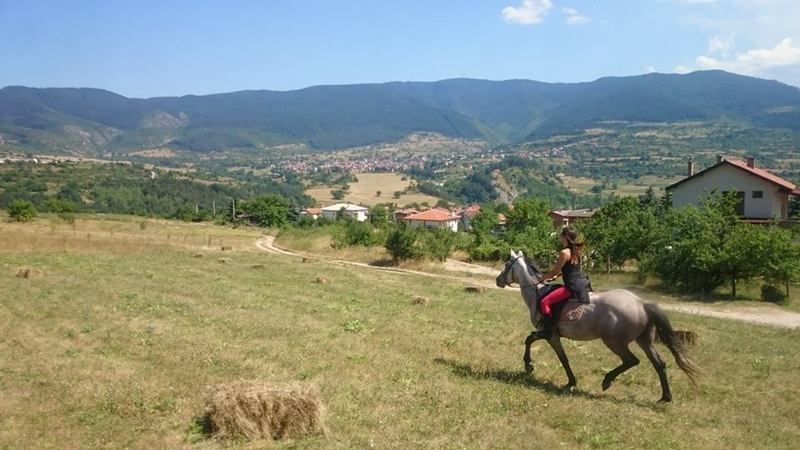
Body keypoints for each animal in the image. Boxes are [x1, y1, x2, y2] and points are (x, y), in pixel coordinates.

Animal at [496, 248, 696, 402]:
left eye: (507, 264)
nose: (498, 280)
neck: (538, 293)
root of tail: (641, 303)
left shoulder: (548, 334)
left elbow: (530, 340)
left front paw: (529, 366)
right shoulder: (553, 336)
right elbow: (564, 358)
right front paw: (570, 383)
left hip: (615, 342)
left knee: (632, 360)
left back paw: (607, 381)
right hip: (644, 340)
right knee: (659, 364)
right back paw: (665, 397)